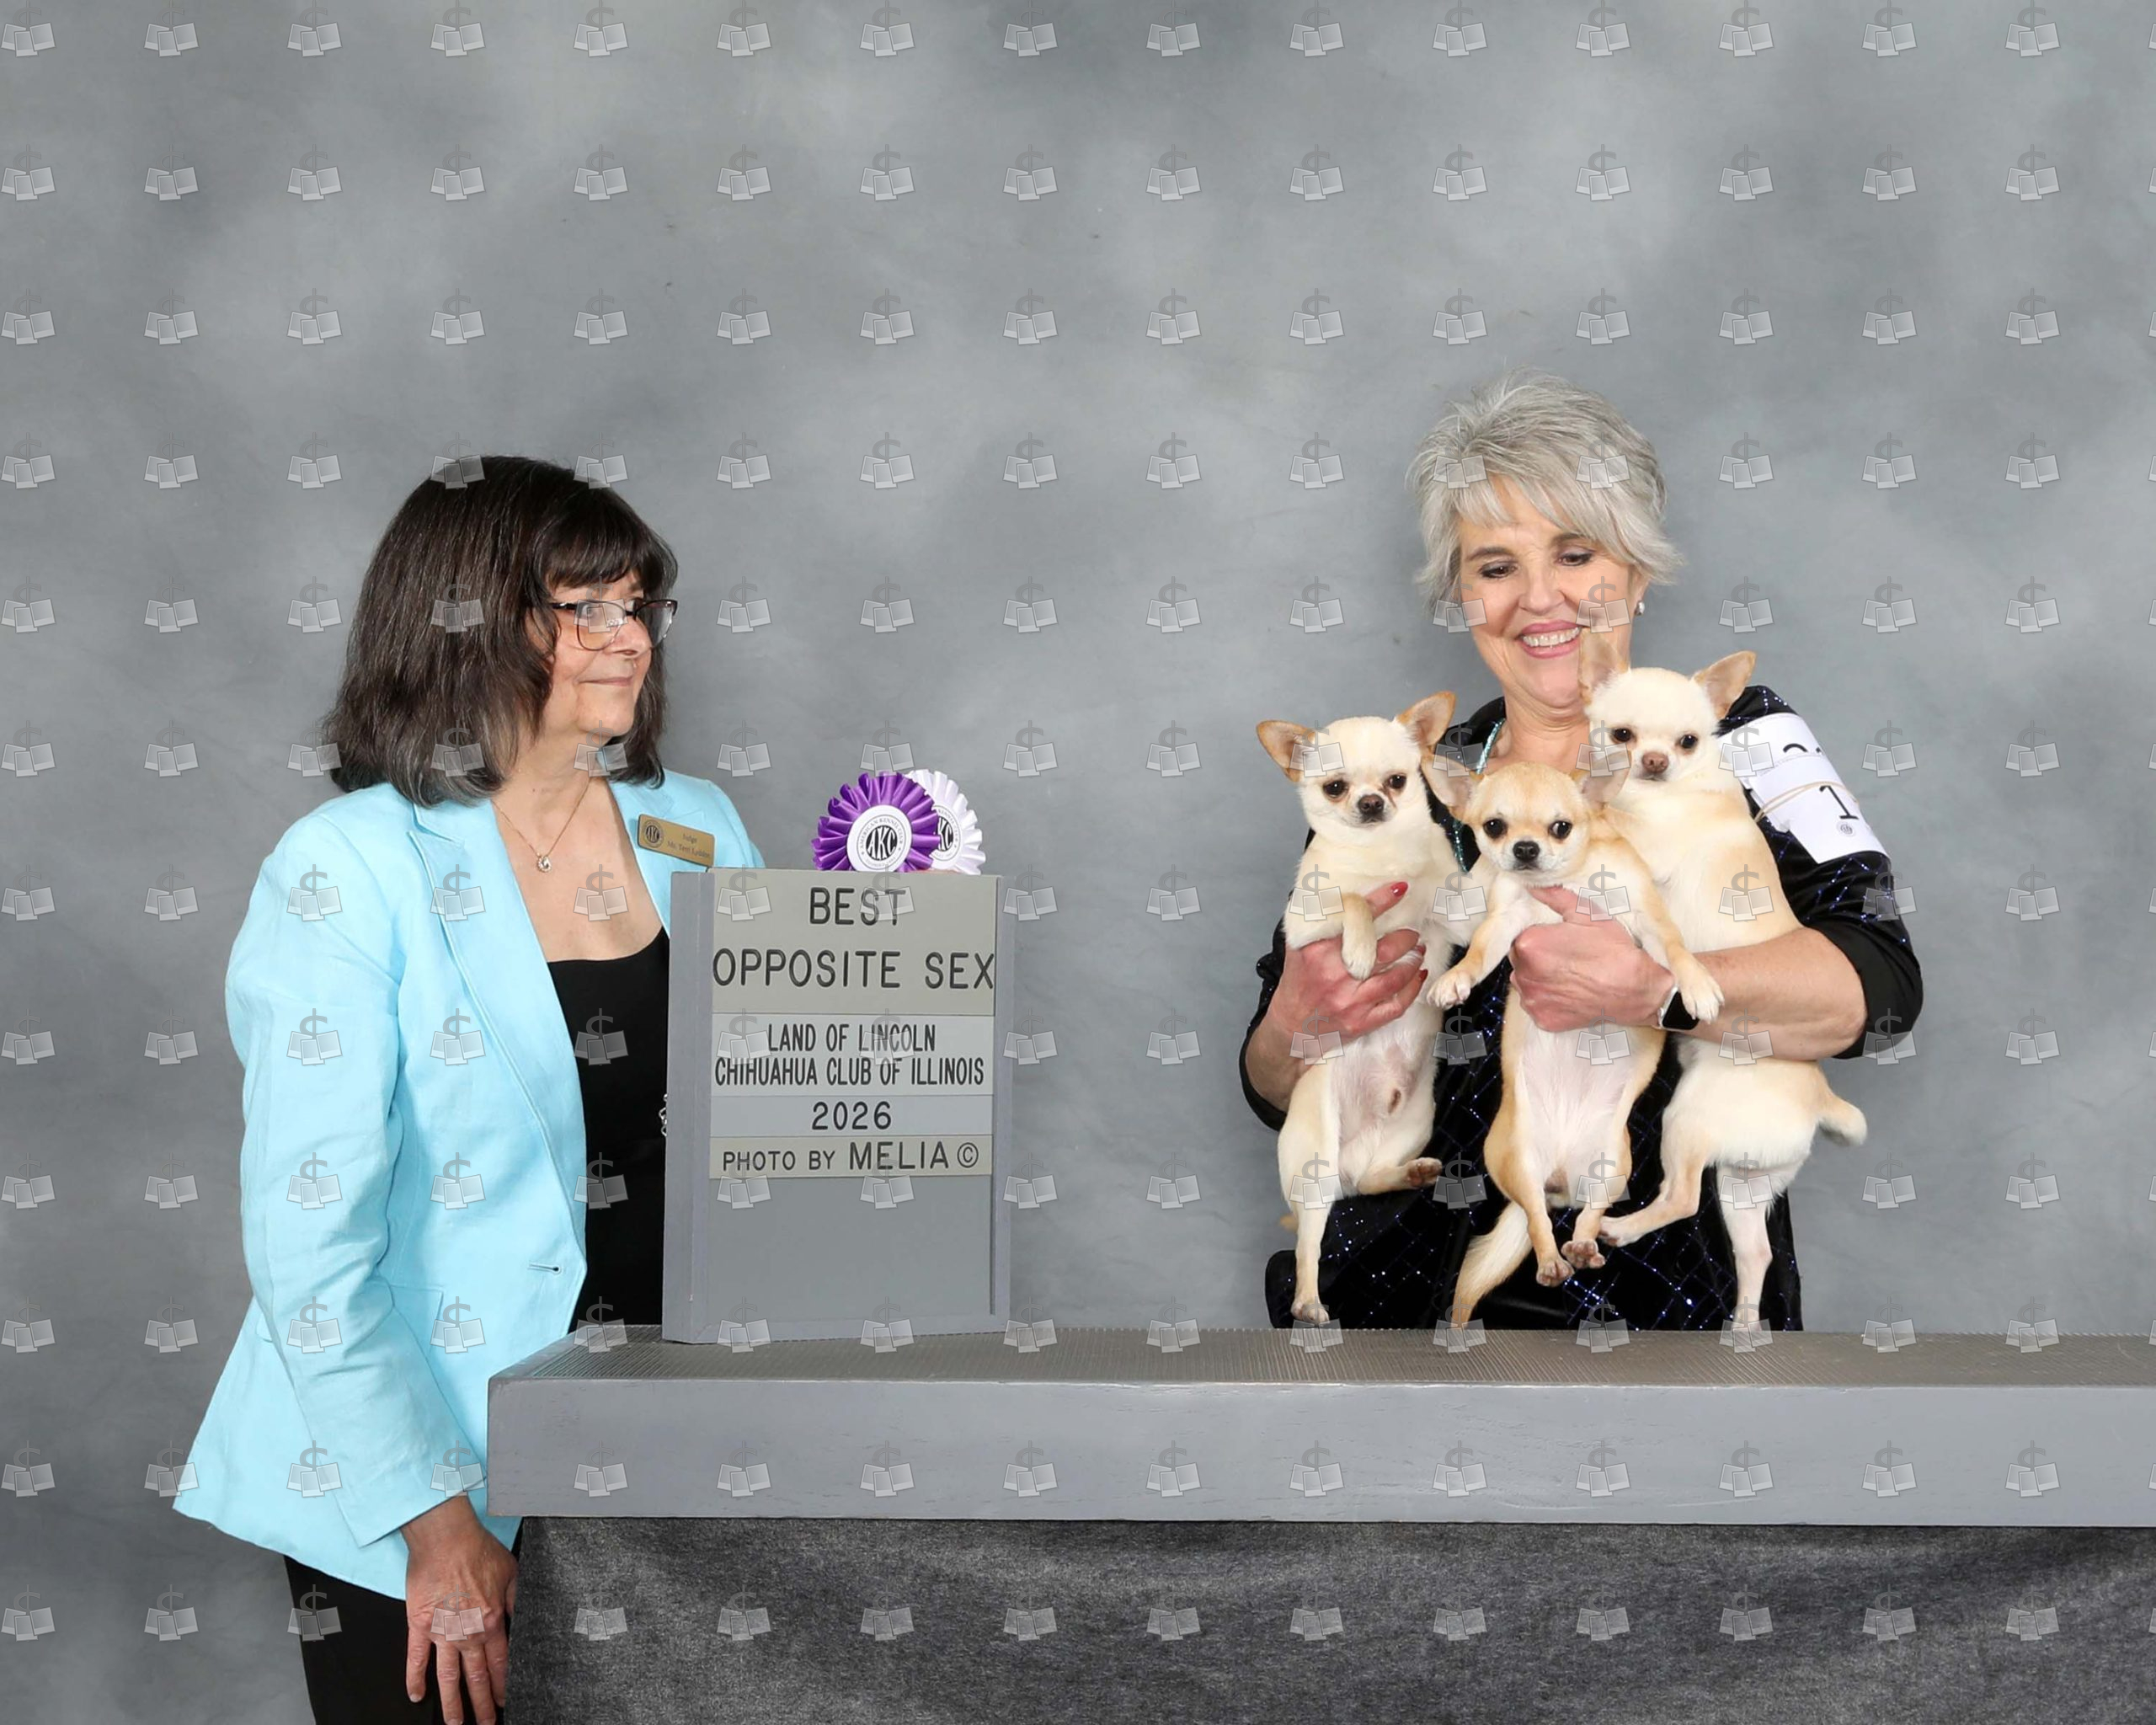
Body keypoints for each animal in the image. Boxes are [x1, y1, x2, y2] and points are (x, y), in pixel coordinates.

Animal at [1255, 693, 1458, 1325]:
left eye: (1396, 781)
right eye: (1336, 787)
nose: (1371, 803)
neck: (1382, 857)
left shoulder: (1454, 915)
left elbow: (1456, 894)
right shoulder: (1304, 925)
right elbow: (1354, 900)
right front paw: (1364, 950)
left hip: (1416, 1121)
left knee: (1370, 1183)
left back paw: (1407, 1172)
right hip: (1315, 1152)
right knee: (1310, 1242)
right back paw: (1308, 1302)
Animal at [1422, 749, 1724, 1328]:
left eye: (1561, 828)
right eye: (1494, 827)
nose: (1525, 849)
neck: (1577, 880)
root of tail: (1559, 1177)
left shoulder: (1645, 921)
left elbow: (1675, 952)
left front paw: (1697, 987)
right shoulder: (1506, 922)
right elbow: (1481, 951)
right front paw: (1456, 979)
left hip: (1612, 1166)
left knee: (1588, 1215)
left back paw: (1583, 1246)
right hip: (1519, 1162)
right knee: (1538, 1222)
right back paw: (1550, 1262)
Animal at [1577, 637, 1868, 1327]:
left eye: (1688, 741)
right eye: (1621, 734)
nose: (1654, 761)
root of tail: (1820, 1102)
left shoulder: (1646, 841)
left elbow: (1609, 814)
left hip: (1687, 1119)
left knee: (1682, 1197)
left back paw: (1621, 1229)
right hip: (1744, 1184)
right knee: (1755, 1252)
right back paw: (1742, 1327)